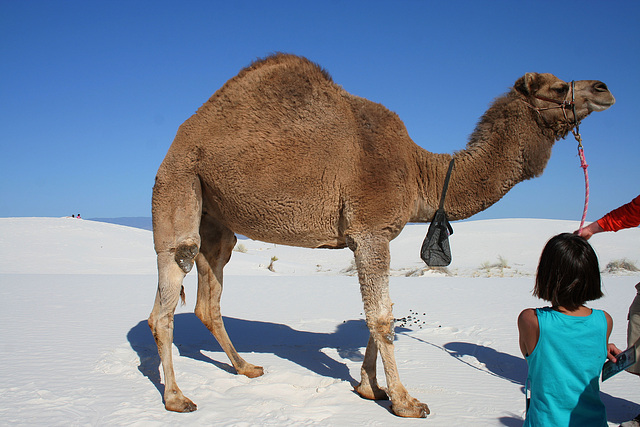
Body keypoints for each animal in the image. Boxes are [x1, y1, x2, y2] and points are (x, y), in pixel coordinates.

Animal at [149, 53, 616, 418]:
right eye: (558, 87)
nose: (604, 86)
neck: (421, 170)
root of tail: (180, 137)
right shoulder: (371, 230)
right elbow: (382, 317)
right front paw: (406, 401)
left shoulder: (372, 237)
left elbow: (376, 314)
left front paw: (370, 387)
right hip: (178, 183)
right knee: (169, 287)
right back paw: (177, 398)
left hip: (216, 218)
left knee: (209, 297)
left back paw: (246, 367)